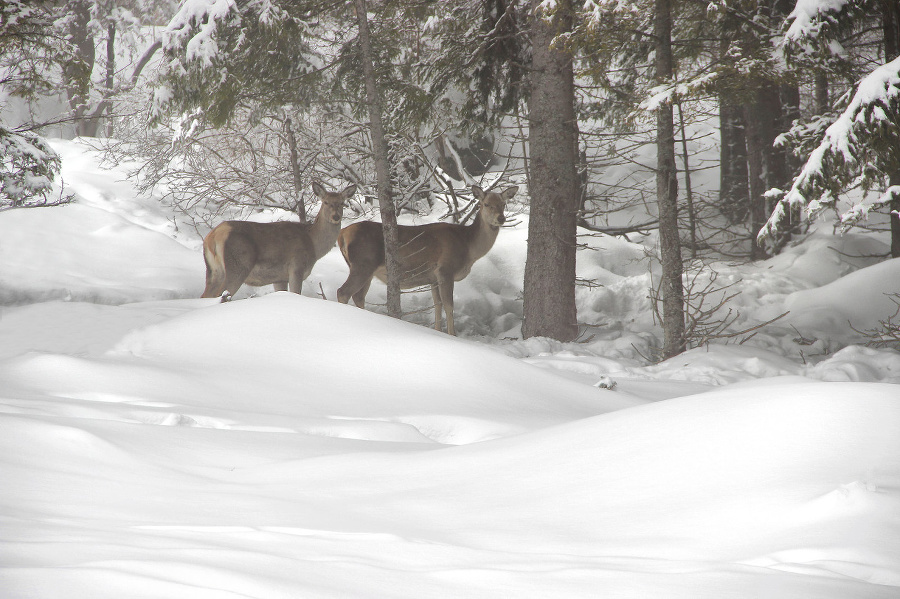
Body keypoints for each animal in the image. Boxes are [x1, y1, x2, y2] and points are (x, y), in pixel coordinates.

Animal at [202, 179, 356, 298]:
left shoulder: (279, 277)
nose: (336, 216)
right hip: (238, 265)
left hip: (214, 270)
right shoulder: (296, 267)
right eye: (325, 202)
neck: (313, 245)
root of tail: (212, 237)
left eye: (342, 203)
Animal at [334, 185, 516, 336]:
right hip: (363, 264)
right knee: (343, 291)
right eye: (486, 204)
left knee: (358, 296)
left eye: (503, 204)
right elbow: (449, 305)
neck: (468, 247)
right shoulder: (445, 269)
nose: (501, 218)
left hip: (365, 269)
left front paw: (438, 331)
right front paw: (453, 335)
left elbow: (437, 304)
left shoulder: (433, 277)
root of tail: (342, 234)